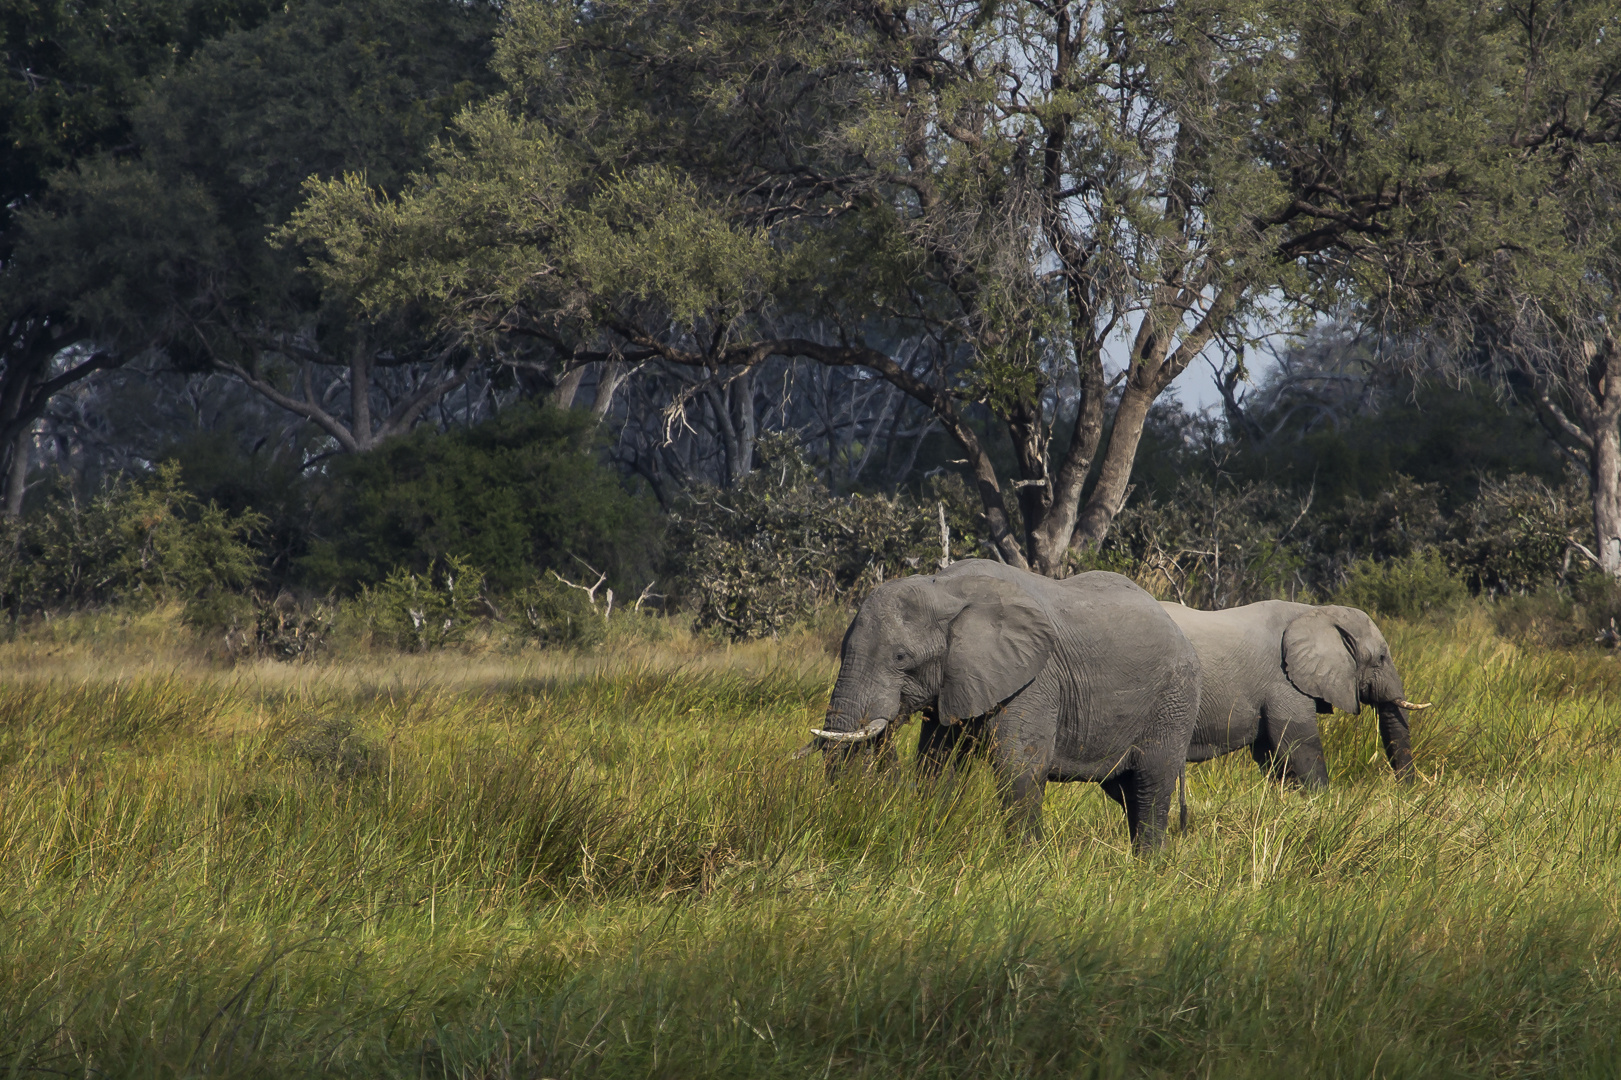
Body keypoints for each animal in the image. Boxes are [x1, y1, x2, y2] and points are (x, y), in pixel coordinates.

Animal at [800, 554, 1206, 849]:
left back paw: (1148, 866)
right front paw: (933, 838)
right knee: (1125, 790)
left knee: (1151, 785)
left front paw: (1026, 862)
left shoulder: (1035, 680)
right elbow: (936, 764)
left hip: (1174, 699)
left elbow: (1019, 766)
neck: (944, 589)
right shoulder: (958, 681)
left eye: (901, 657)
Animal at [1154, 596, 1432, 781]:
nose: (1403, 790)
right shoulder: (1283, 682)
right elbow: (1299, 744)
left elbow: (1270, 752)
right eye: (1382, 658)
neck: (1316, 612)